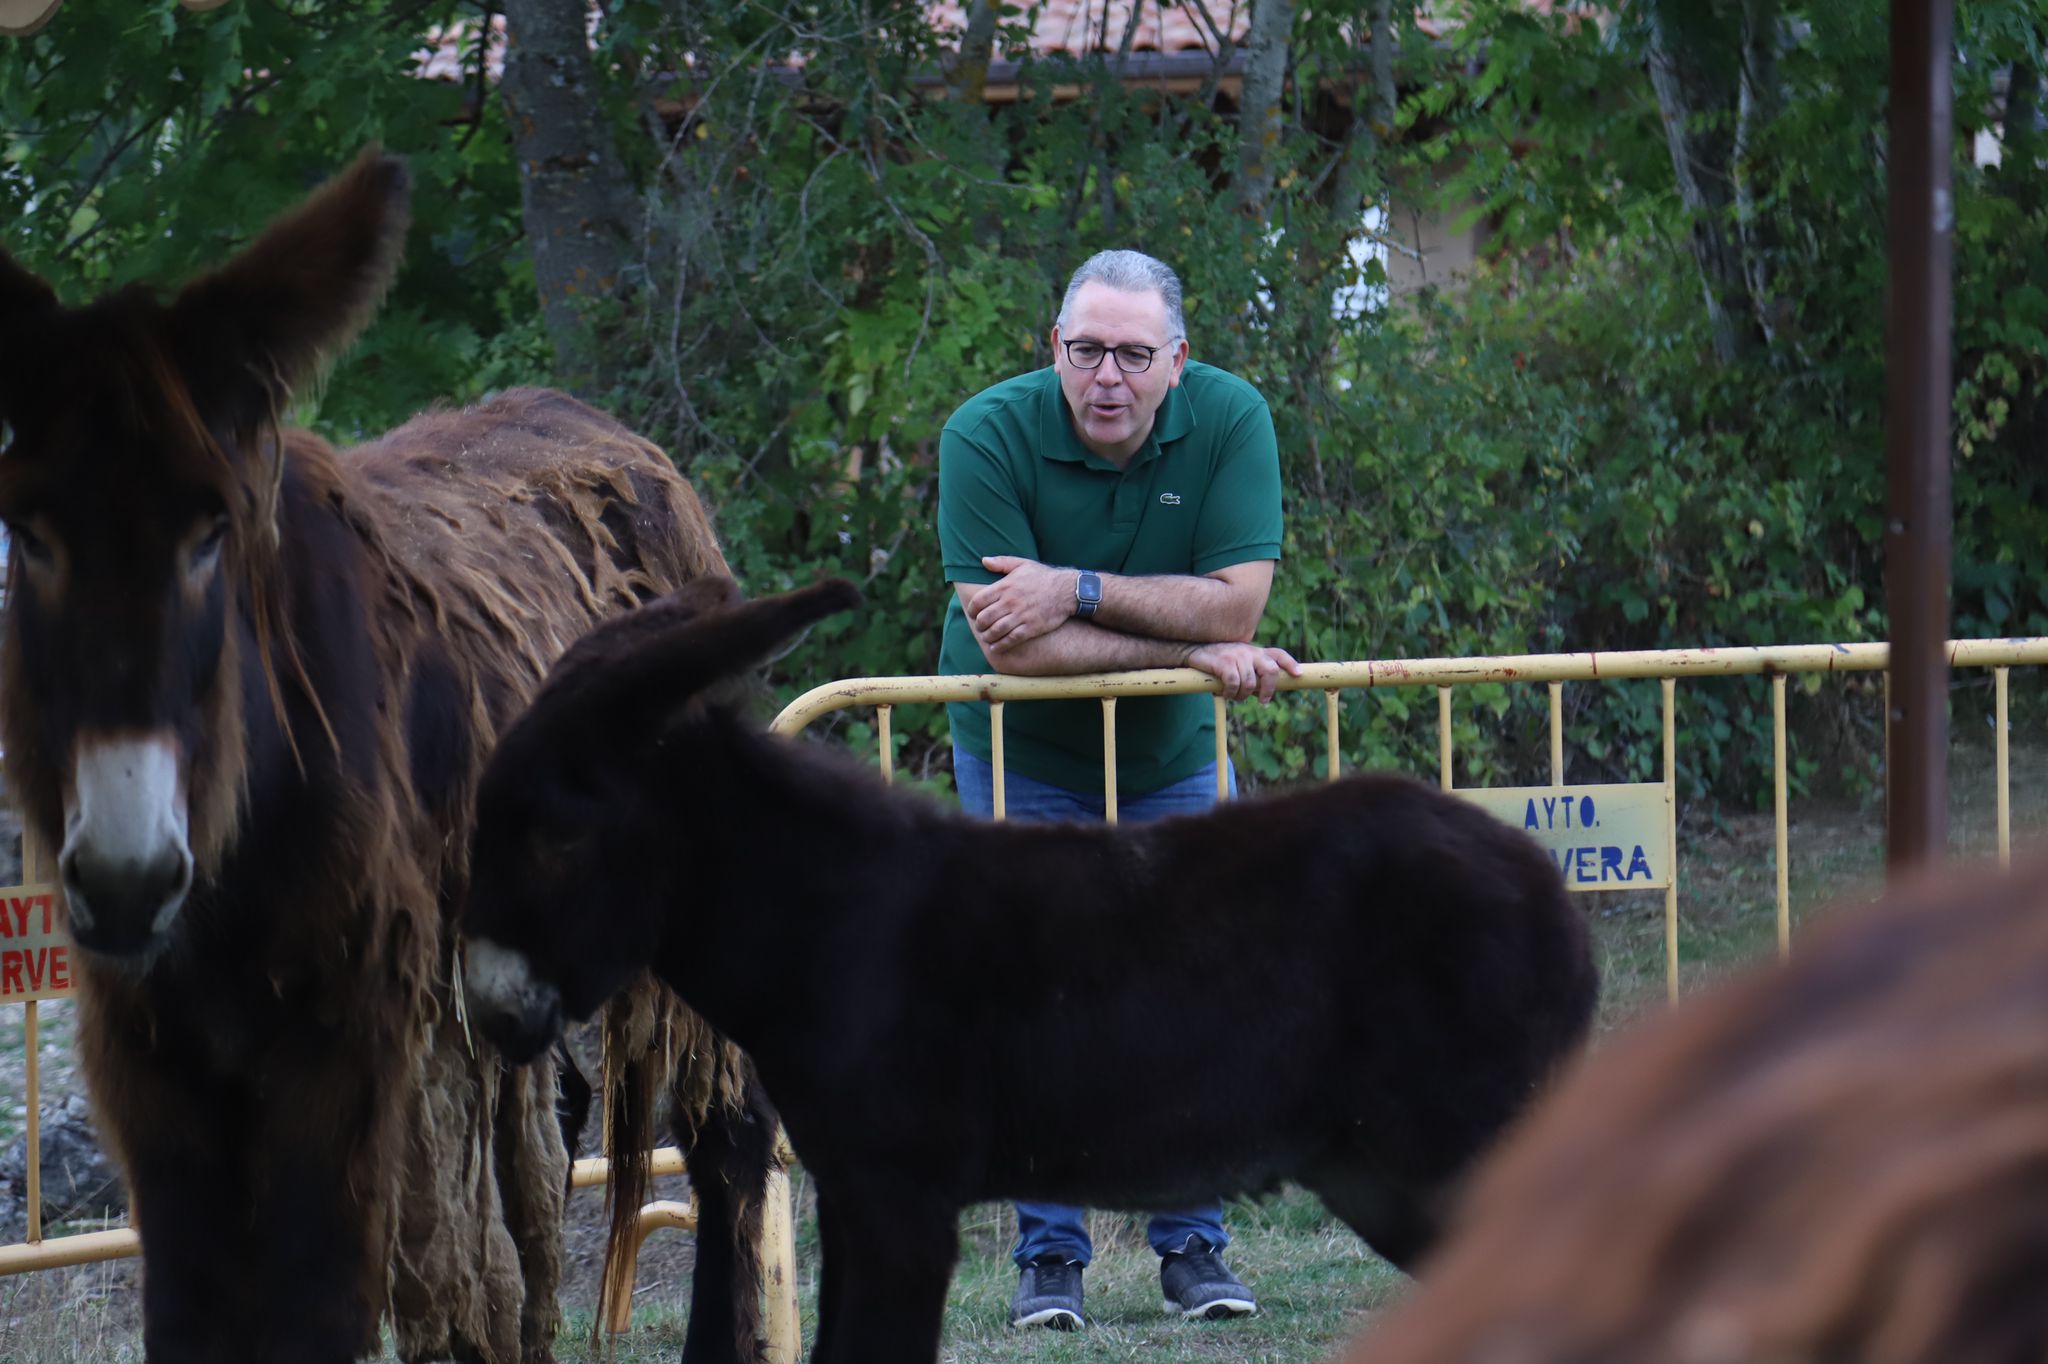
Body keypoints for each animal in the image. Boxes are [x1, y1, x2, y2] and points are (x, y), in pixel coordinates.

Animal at [0, 151, 770, 1359]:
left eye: (213, 533)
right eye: (27, 534)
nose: (129, 872)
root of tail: (629, 443)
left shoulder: (342, 1049)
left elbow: (315, 1299)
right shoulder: (153, 1062)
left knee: (727, 1131)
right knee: (552, 1145)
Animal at [460, 577, 1597, 1359]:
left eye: (554, 835)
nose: (487, 1015)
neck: (826, 927)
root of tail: (1542, 882)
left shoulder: (899, 1193)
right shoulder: (856, 1188)